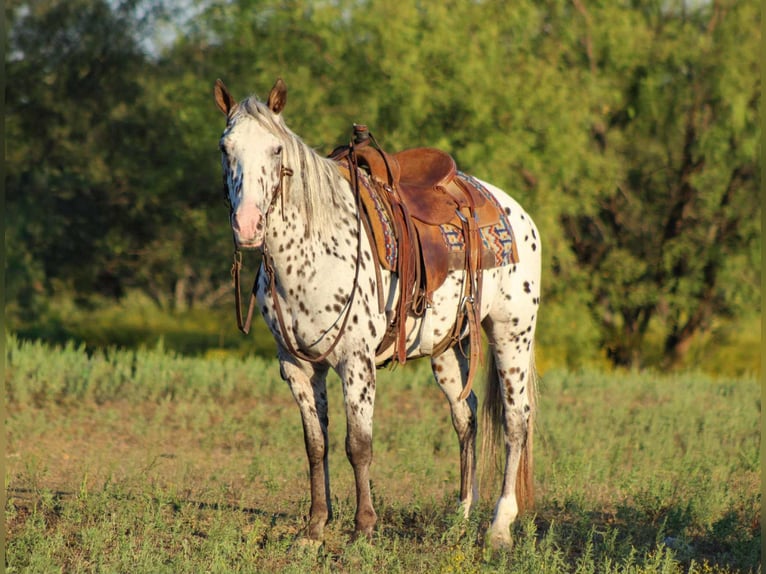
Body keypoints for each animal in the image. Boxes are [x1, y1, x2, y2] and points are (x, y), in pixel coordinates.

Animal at [213, 78, 541, 549]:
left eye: (276, 150)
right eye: (225, 148)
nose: (247, 225)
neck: (314, 248)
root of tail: (515, 212)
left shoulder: (356, 362)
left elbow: (358, 444)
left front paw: (363, 527)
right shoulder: (296, 367)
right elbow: (315, 445)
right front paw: (313, 530)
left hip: (512, 335)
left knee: (516, 420)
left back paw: (499, 527)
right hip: (446, 350)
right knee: (466, 415)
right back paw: (460, 514)